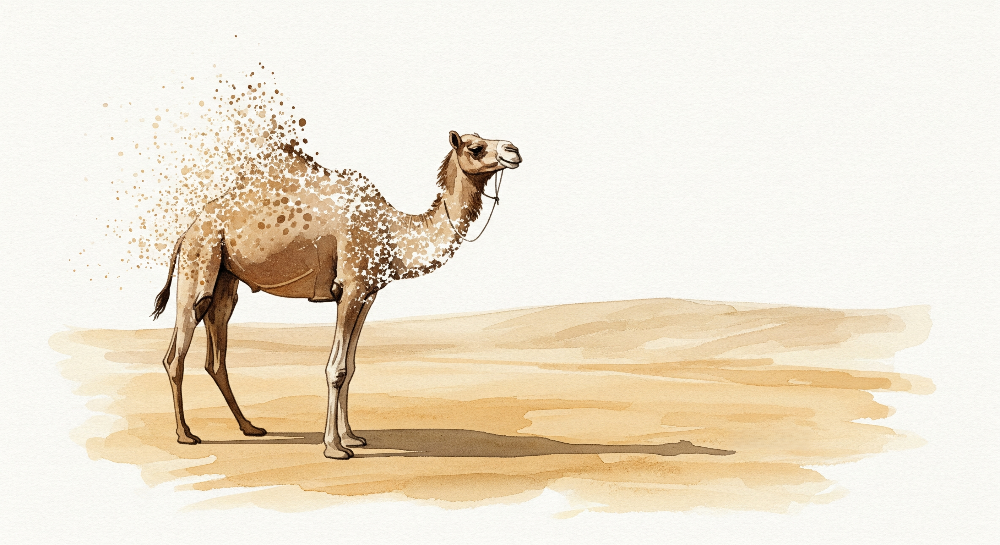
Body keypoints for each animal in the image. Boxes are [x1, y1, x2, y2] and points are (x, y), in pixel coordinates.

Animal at [151, 131, 522, 459]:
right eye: (475, 147)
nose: (514, 150)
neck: (392, 233)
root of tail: (187, 230)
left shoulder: (368, 294)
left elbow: (353, 366)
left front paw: (352, 437)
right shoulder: (351, 288)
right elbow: (337, 368)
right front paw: (334, 447)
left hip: (225, 281)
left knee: (216, 355)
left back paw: (250, 427)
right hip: (198, 263)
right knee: (176, 353)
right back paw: (185, 434)